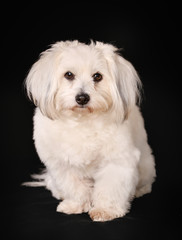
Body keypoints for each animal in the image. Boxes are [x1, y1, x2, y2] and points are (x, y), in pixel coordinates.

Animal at [24, 40, 156, 221]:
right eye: (69, 75)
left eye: (97, 76)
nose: (82, 98)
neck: (82, 120)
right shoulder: (62, 164)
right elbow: (74, 187)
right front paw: (76, 205)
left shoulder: (117, 162)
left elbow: (110, 188)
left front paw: (105, 210)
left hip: (146, 165)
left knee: (145, 182)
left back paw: (137, 191)